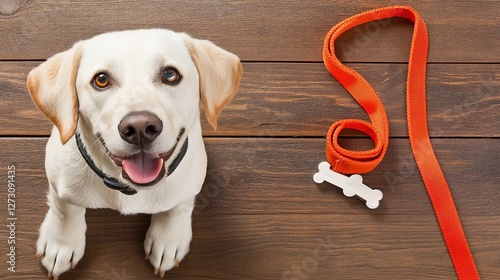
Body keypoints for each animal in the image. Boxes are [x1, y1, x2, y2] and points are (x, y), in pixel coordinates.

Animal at [27, 29, 242, 278]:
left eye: (170, 75)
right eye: (101, 79)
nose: (139, 128)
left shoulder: (191, 182)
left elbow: (178, 206)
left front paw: (168, 238)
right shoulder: (58, 180)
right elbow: (65, 208)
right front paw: (61, 243)